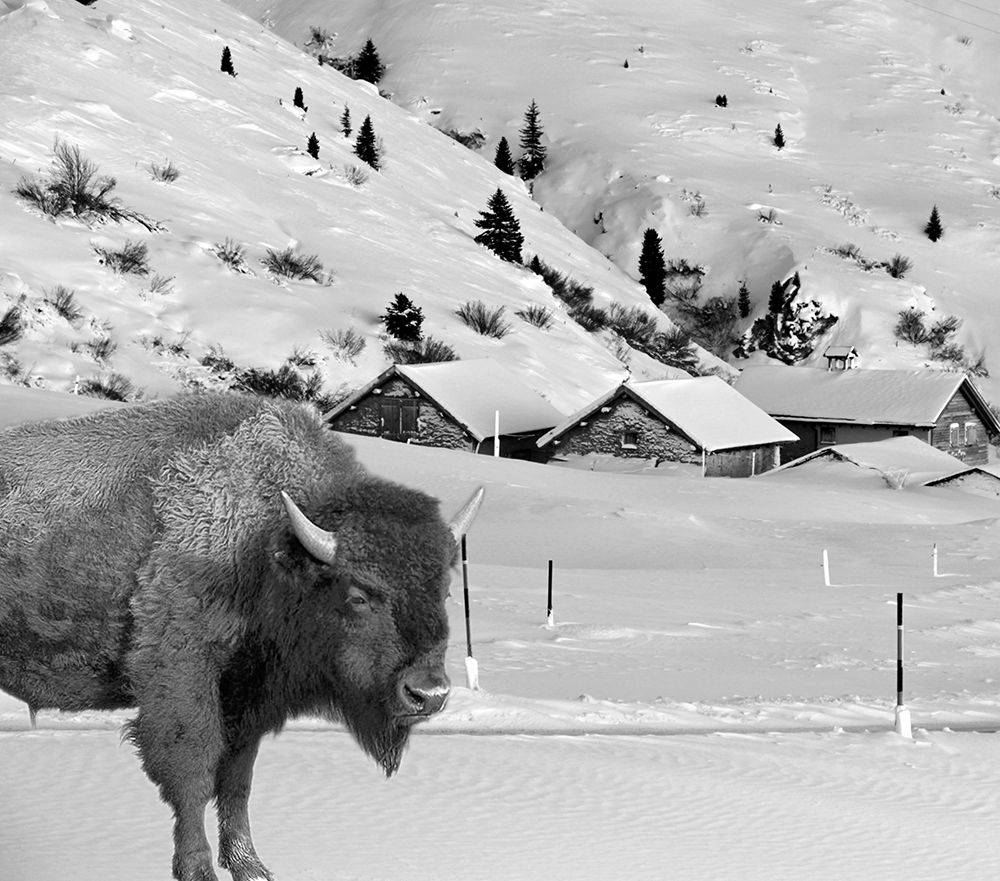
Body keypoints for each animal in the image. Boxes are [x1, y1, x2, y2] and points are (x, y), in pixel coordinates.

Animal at [0, 392, 483, 881]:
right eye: (358, 594)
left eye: (444, 590)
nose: (429, 694)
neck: (266, 545)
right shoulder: (183, 675)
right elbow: (193, 774)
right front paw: (198, 869)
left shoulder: (249, 698)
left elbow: (237, 780)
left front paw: (251, 866)